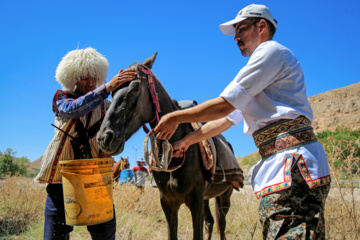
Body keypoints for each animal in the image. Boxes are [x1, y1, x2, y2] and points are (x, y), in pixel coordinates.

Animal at [97, 53, 240, 240]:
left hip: (224, 197)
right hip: (207, 198)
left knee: (221, 226)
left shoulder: (195, 202)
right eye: (112, 92)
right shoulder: (168, 203)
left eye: (135, 88)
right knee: (210, 222)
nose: (104, 138)